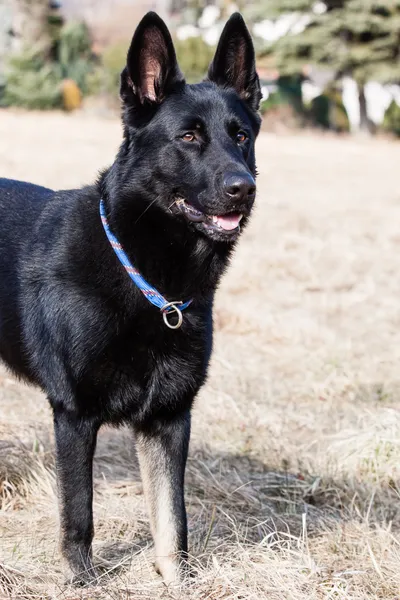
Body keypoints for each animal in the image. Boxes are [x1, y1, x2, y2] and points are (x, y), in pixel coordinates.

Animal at [0, 11, 260, 584]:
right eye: (188, 136)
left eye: (242, 136)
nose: (244, 187)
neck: (148, 279)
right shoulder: (74, 416)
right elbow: (79, 516)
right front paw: (81, 584)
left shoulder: (168, 419)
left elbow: (171, 521)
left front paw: (179, 584)